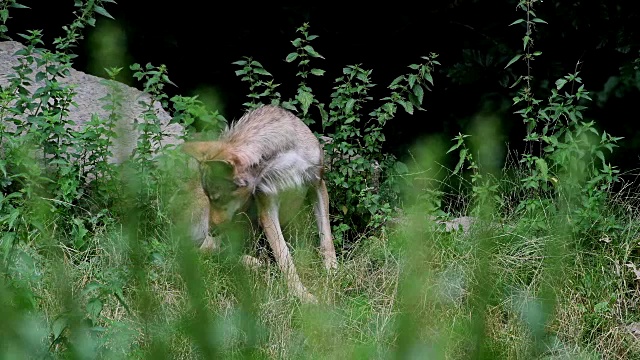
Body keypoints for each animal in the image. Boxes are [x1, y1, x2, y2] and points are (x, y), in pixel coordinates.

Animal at [180, 105, 338, 304]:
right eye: (211, 198)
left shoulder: (318, 184)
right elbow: (285, 258)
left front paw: (333, 270)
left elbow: (326, 237)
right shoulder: (267, 208)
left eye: (217, 198)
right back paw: (253, 263)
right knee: (207, 252)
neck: (281, 159)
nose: (211, 230)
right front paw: (302, 296)